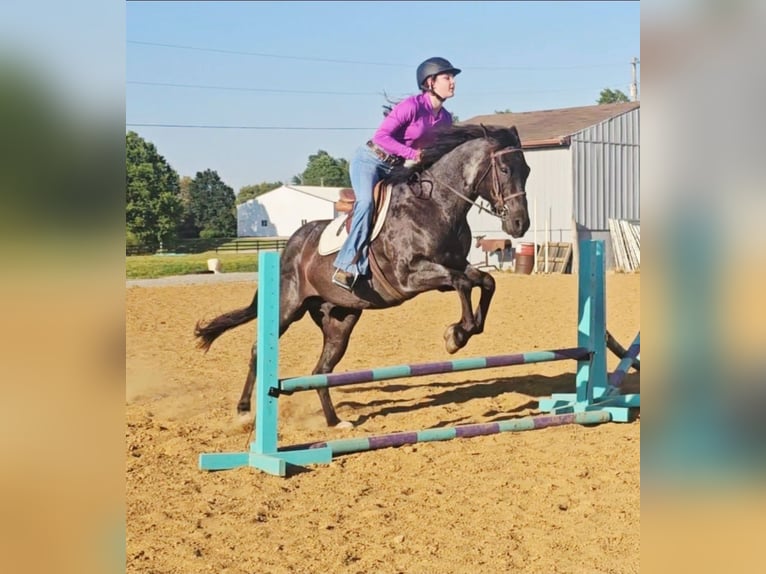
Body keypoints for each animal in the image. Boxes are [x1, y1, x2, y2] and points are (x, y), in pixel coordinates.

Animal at [194, 123, 531, 428]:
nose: (520, 224)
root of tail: (289, 246)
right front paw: (456, 336)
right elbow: (463, 283)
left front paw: (463, 331)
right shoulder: (411, 276)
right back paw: (243, 412)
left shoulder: (452, 267)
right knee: (257, 349)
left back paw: (335, 422)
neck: (437, 206)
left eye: (527, 170)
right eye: (504, 169)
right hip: (287, 307)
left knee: (321, 369)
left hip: (340, 319)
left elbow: (484, 281)